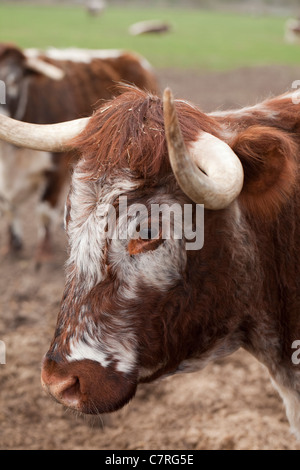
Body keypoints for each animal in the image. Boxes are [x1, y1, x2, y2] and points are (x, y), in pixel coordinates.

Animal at [0, 43, 158, 264]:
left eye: (14, 80)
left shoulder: (55, 170)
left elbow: (44, 211)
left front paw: (43, 254)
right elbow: (8, 208)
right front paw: (12, 248)